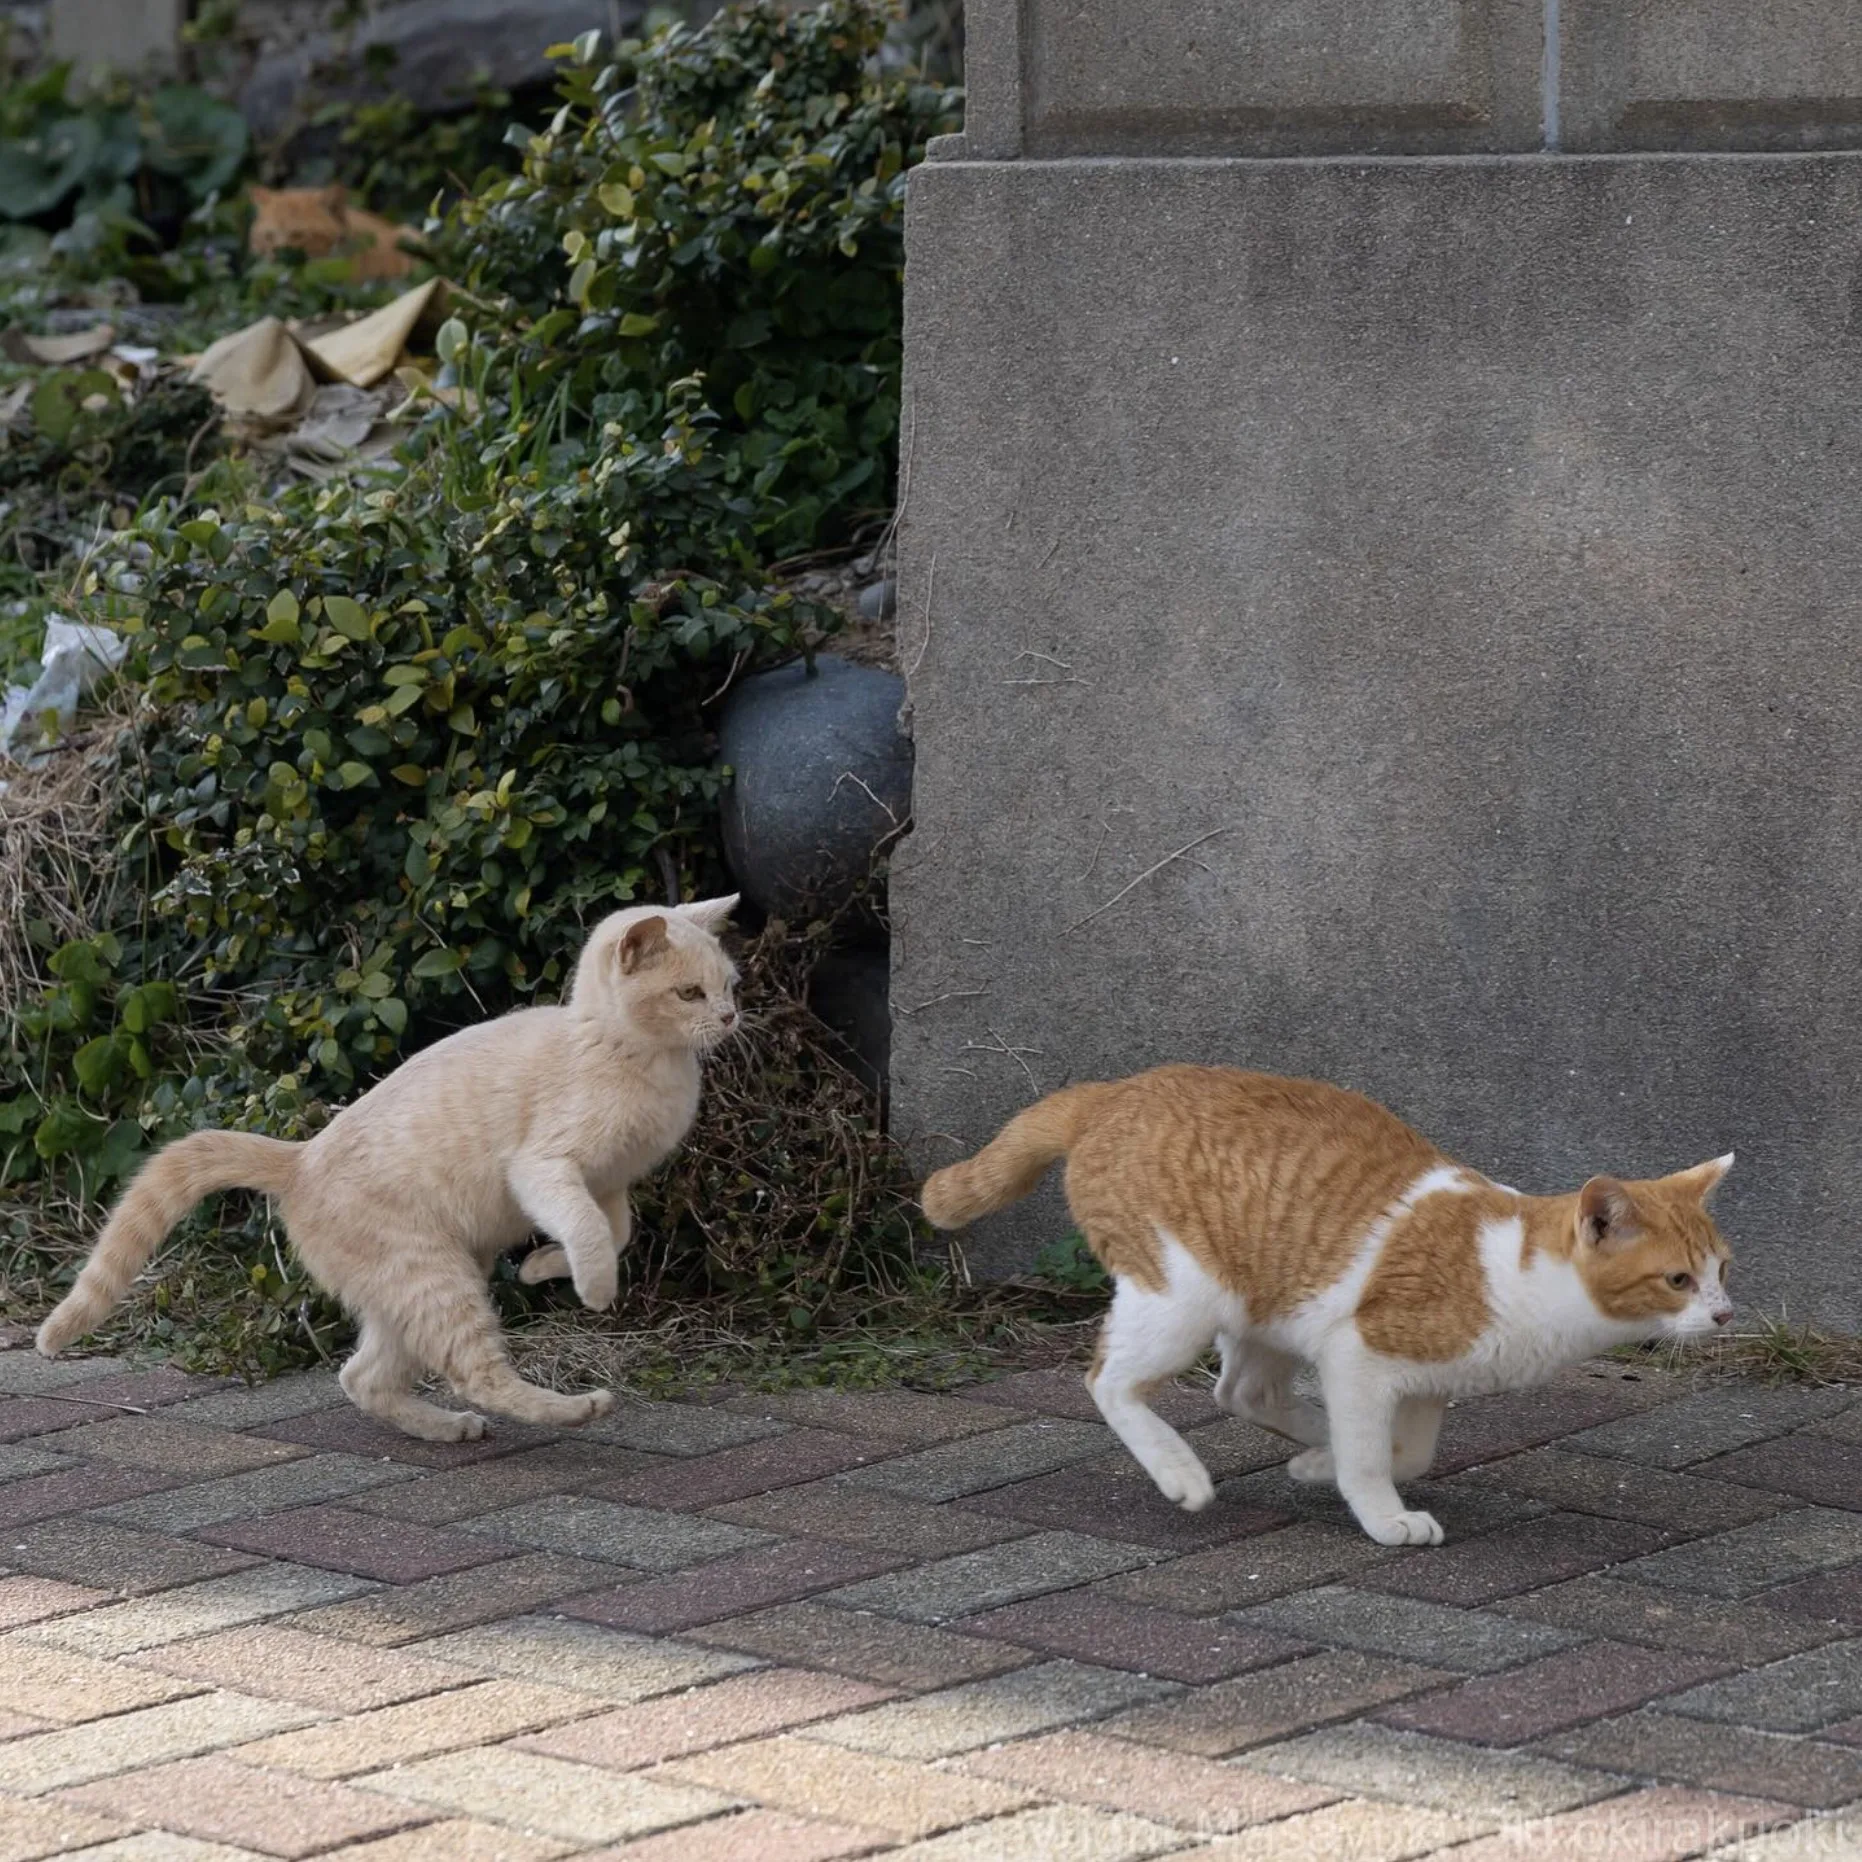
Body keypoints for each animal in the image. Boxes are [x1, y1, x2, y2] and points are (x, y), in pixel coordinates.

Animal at [36, 901, 733, 1437]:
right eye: (689, 992)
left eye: (729, 984)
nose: (729, 1017)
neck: (630, 1053)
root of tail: (301, 1158)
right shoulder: (545, 1169)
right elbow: (589, 1232)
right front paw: (593, 1288)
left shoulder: (609, 1184)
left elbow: (615, 1232)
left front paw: (542, 1267)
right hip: (434, 1276)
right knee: (475, 1374)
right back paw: (573, 1409)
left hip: (416, 1288)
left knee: (362, 1376)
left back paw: (446, 1429)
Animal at [923, 1072, 1735, 1549]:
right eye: (1678, 1281)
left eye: (1724, 1270)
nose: (1726, 1315)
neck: (1522, 1276)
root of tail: (1113, 1089)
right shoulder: (1361, 1353)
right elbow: (1374, 1457)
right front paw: (1380, 1510)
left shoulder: (1424, 1380)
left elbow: (1407, 1450)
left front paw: (1324, 1465)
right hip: (1182, 1300)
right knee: (1110, 1382)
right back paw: (1180, 1470)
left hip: (1267, 1305)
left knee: (1241, 1391)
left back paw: (1312, 1442)